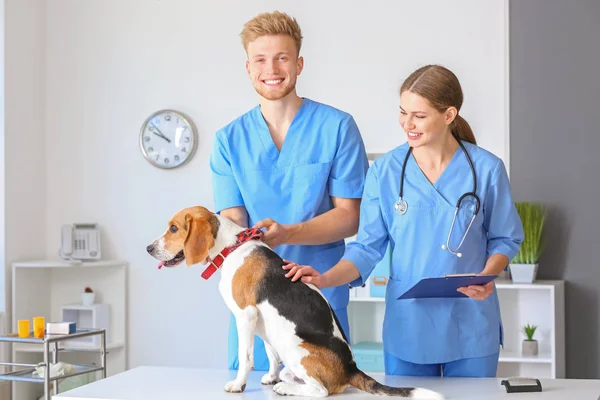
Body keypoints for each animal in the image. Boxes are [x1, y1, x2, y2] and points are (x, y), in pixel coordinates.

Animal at [146, 208, 440, 398]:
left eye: (174, 228)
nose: (148, 249)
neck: (231, 248)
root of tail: (351, 368)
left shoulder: (246, 315)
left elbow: (246, 356)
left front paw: (238, 385)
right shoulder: (262, 323)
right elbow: (270, 355)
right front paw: (269, 376)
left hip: (296, 347)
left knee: (321, 391)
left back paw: (286, 389)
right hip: (288, 351)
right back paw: (284, 382)